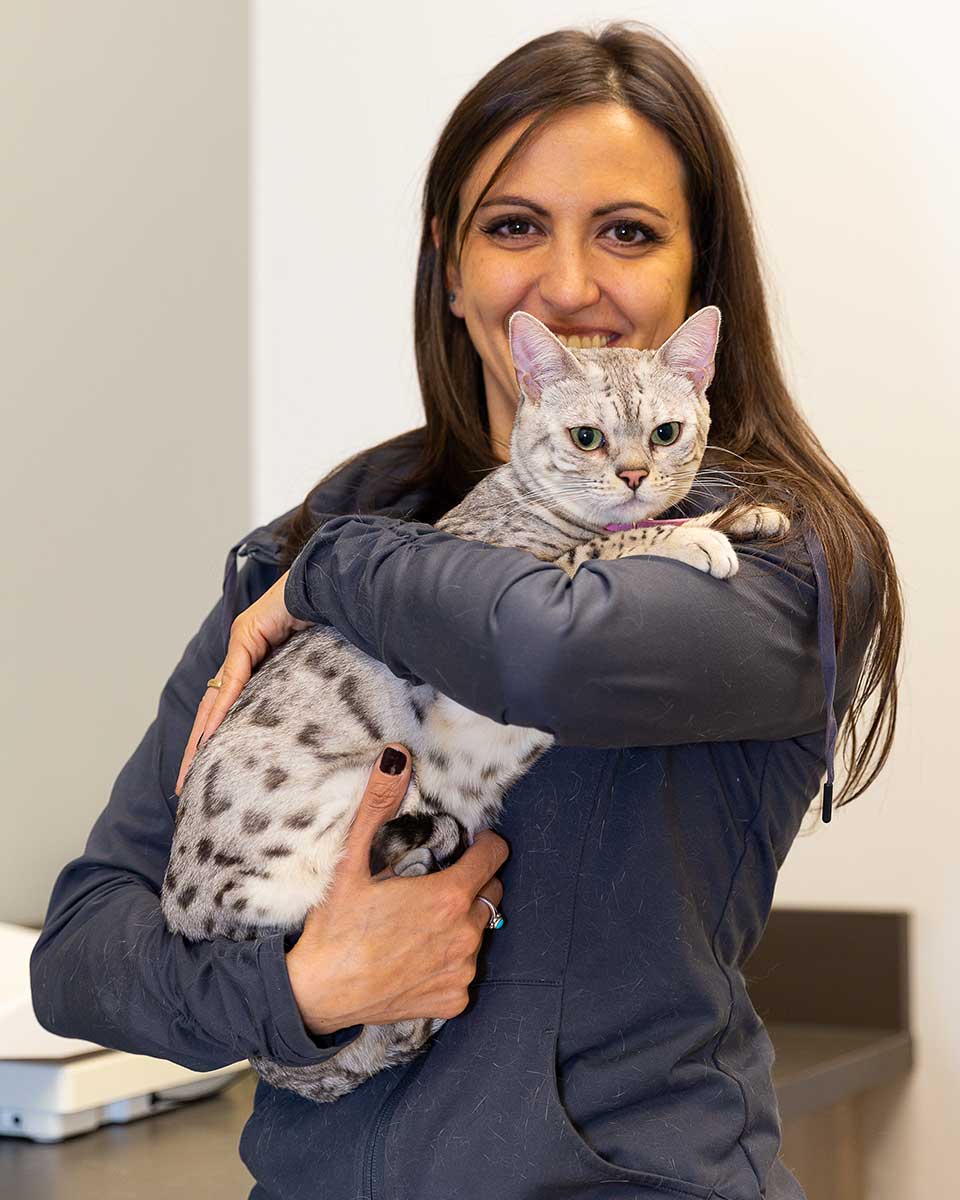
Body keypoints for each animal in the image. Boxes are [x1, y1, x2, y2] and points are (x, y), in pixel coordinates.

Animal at [159, 304, 787, 1099]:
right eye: (588, 438)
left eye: (666, 433)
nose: (634, 474)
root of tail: (181, 908)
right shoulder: (534, 577)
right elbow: (622, 543)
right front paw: (699, 538)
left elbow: (668, 519)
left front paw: (751, 513)